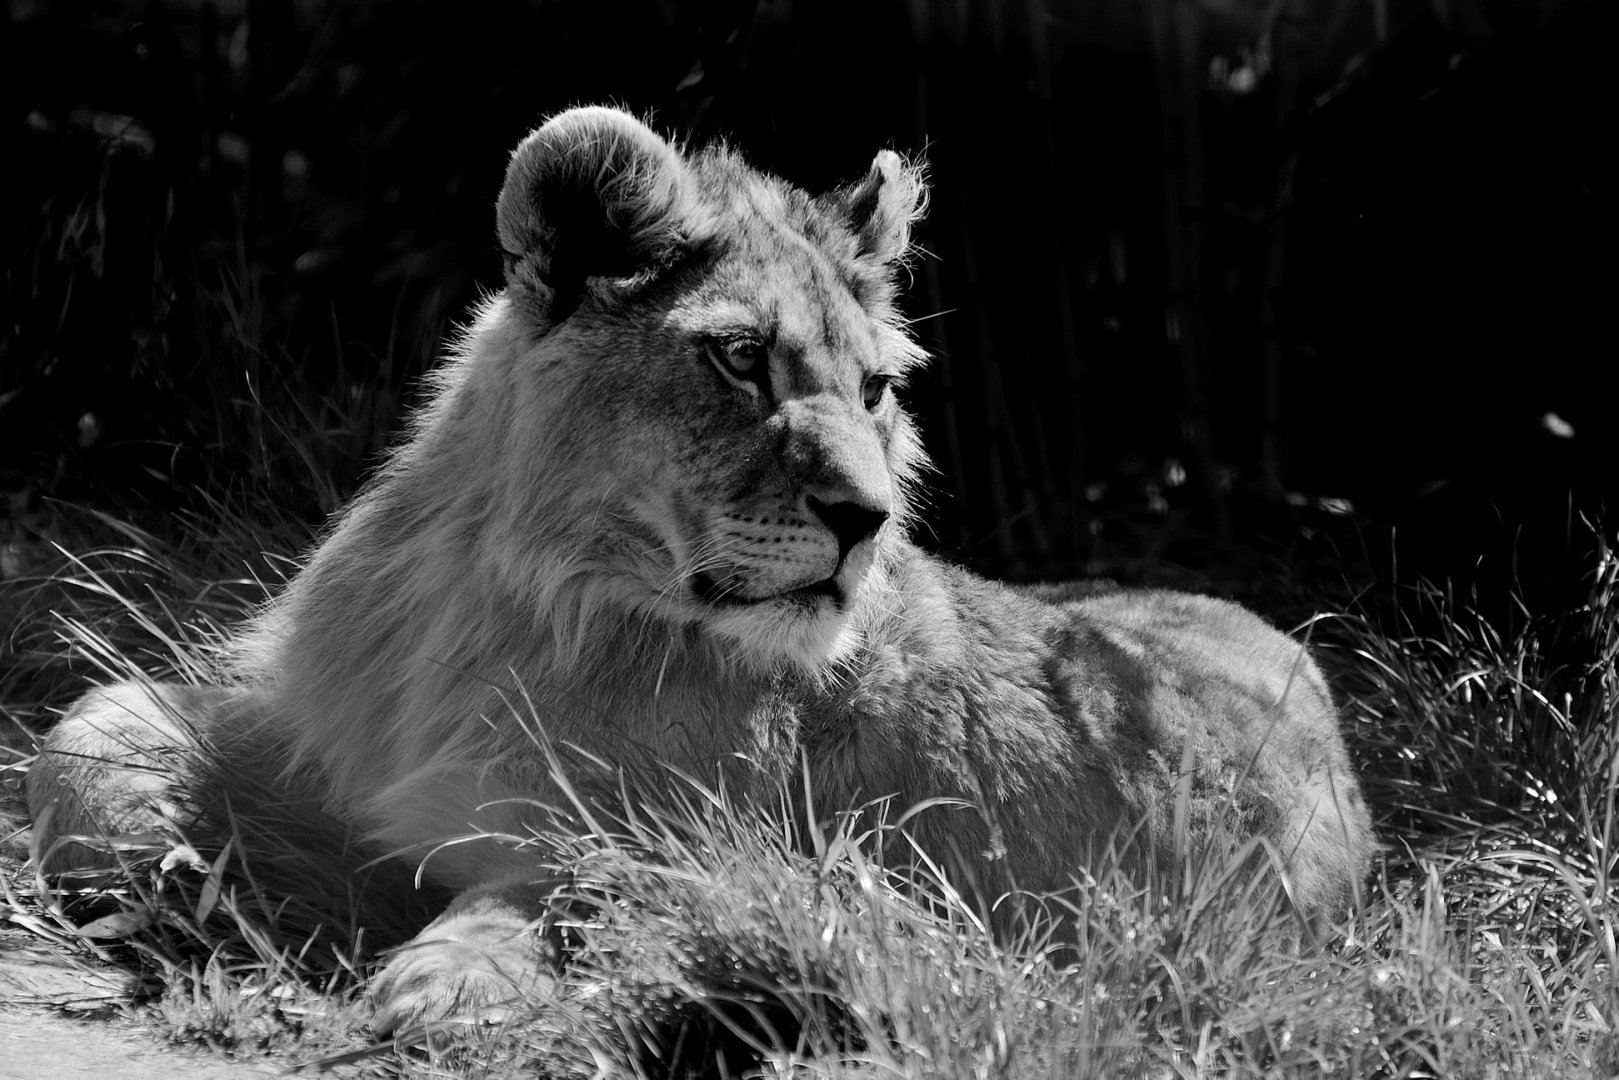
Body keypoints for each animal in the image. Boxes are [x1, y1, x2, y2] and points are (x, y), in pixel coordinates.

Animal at [27, 106, 1374, 1035]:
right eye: (738, 360)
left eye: (873, 389)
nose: (867, 520)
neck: (508, 601)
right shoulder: (330, 748)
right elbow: (84, 730)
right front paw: (159, 866)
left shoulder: (694, 838)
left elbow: (567, 886)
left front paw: (450, 980)